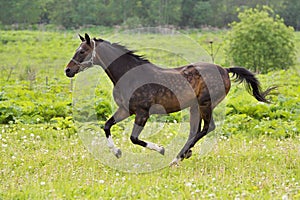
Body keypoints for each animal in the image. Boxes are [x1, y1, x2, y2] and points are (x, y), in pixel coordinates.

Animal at [64, 33, 276, 166]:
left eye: (82, 51)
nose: (68, 70)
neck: (131, 75)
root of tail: (224, 69)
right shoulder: (125, 110)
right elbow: (107, 126)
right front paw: (116, 152)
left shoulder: (142, 112)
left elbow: (134, 138)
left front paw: (161, 149)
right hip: (194, 107)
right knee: (195, 130)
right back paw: (183, 154)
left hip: (205, 104)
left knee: (207, 128)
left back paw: (178, 157)